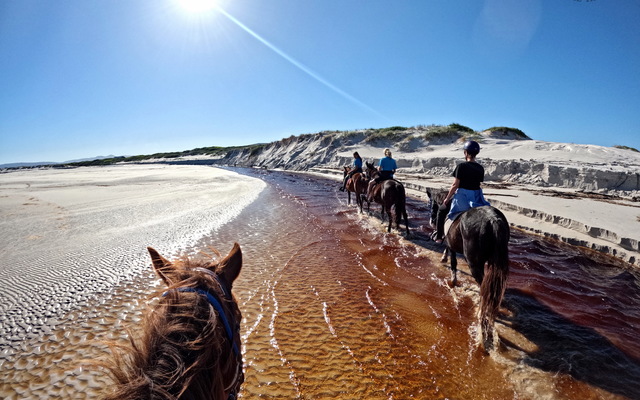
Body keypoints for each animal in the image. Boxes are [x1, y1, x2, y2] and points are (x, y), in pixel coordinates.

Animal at [427, 190, 510, 352]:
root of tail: (493, 220)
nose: (431, 222)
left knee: (484, 287)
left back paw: (481, 315)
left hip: (474, 263)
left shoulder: (451, 244)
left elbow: (453, 262)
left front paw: (452, 281)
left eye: (433, 206)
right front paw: (444, 258)